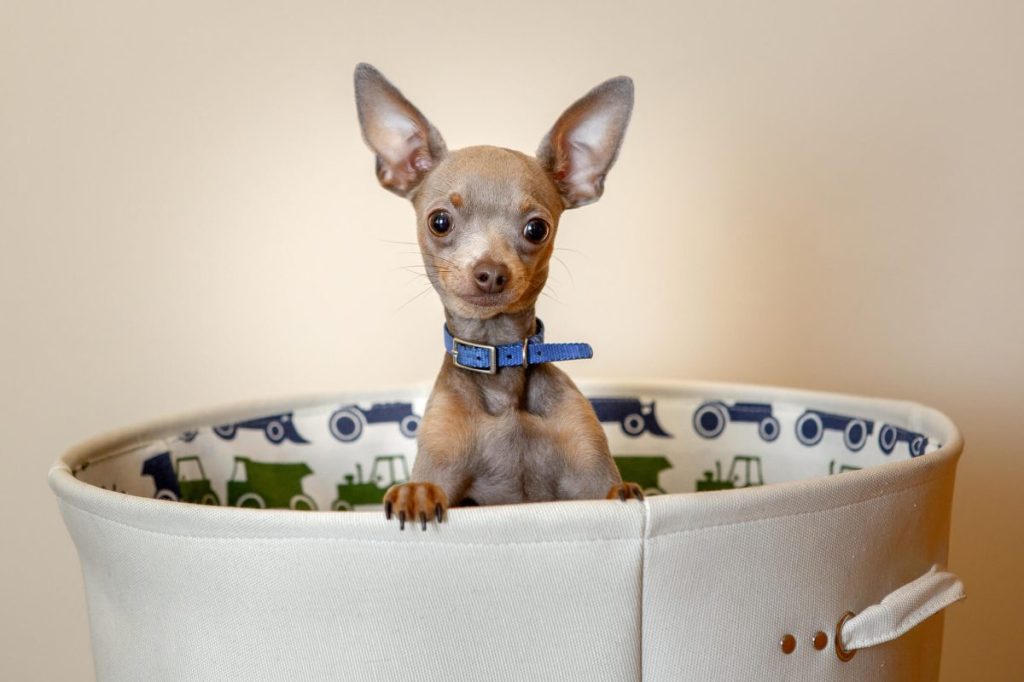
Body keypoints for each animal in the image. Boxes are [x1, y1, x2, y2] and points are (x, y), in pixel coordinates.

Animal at [352, 63, 638, 528]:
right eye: (440, 221)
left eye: (536, 229)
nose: (490, 273)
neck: (500, 371)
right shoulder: (443, 468)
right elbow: (430, 485)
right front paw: (414, 494)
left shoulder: (590, 477)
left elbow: (612, 490)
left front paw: (627, 492)